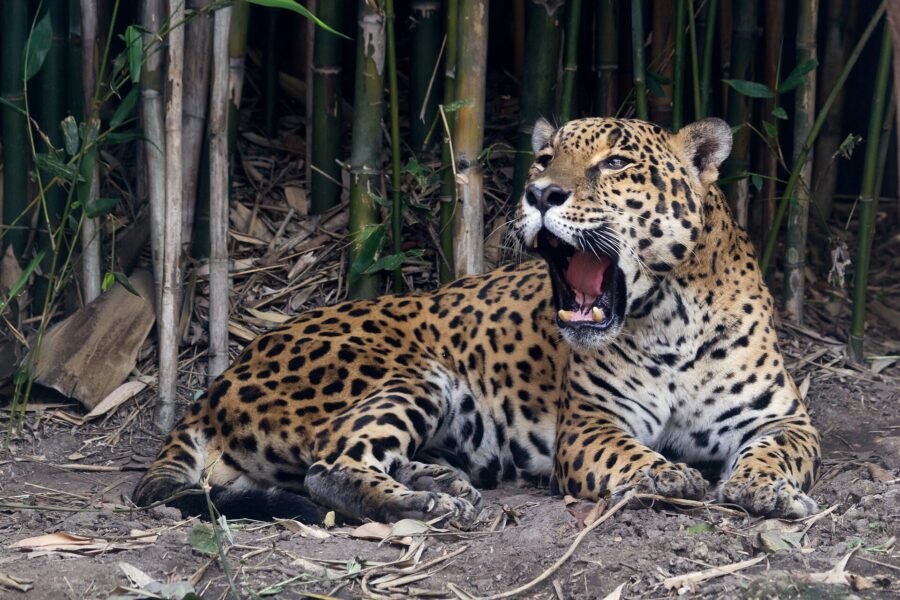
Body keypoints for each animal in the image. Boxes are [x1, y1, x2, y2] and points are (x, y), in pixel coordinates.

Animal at [134, 117, 821, 528]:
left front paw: (764, 488)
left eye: (616, 163)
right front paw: (668, 472)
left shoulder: (783, 417)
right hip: (411, 376)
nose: (540, 193)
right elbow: (630, 454)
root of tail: (214, 387)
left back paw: (441, 477)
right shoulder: (592, 424)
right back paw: (434, 500)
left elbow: (778, 451)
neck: (669, 319)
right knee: (329, 467)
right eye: (544, 157)